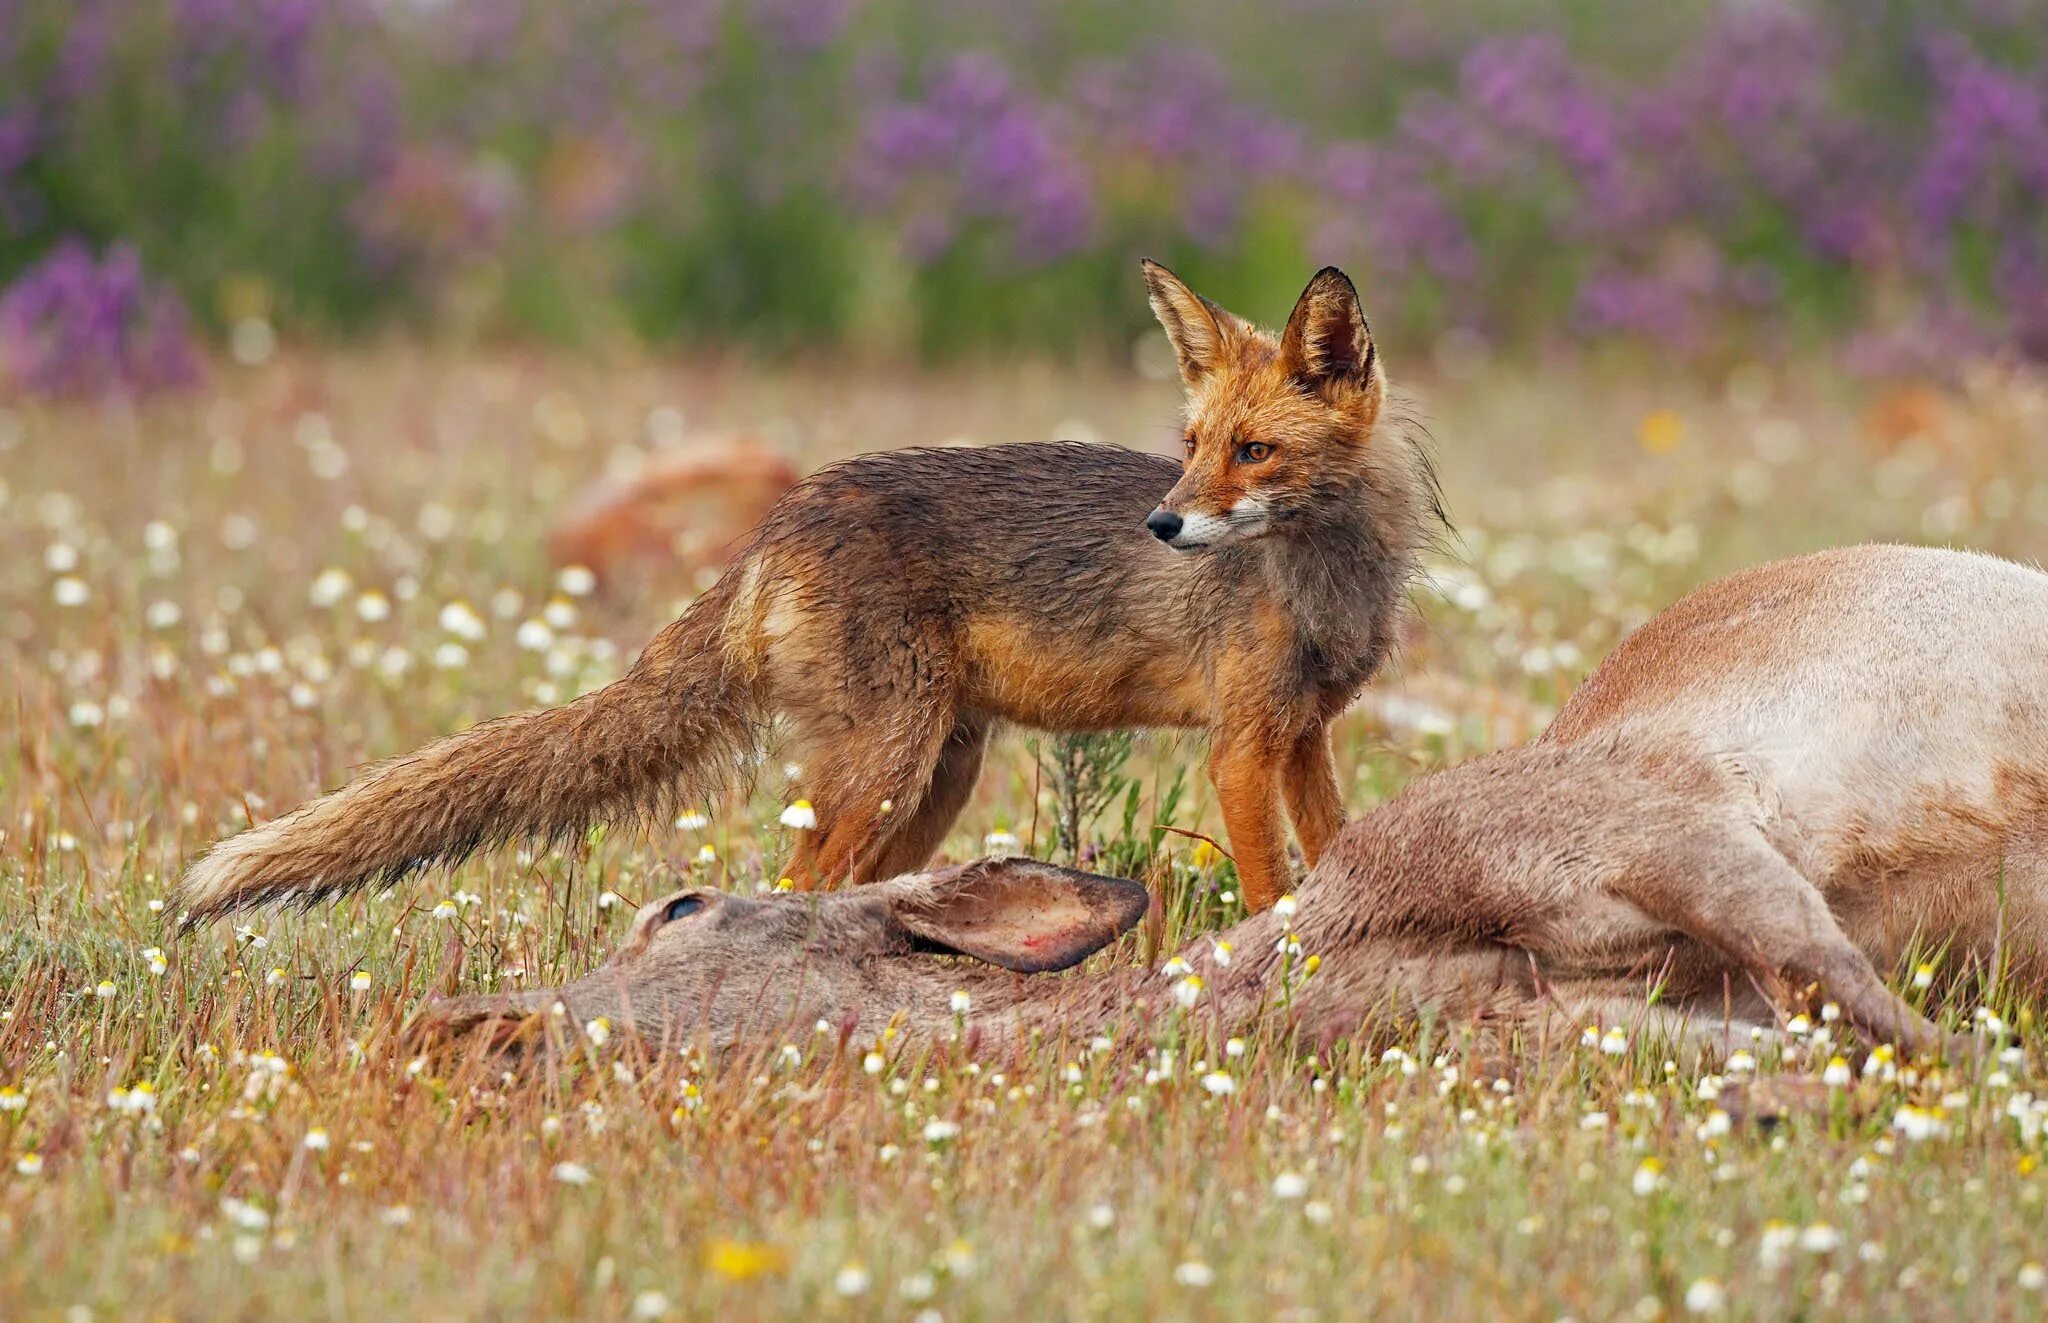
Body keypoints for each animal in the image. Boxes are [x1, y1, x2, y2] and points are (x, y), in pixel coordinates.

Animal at [176, 259, 1433, 921]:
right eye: (1189, 447)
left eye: (1252, 453)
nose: (1163, 524)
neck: (1322, 580)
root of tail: (783, 516)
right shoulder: (1237, 746)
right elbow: (1273, 890)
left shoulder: (1304, 736)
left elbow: (1336, 853)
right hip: (887, 770)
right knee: (787, 884)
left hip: (927, 782)